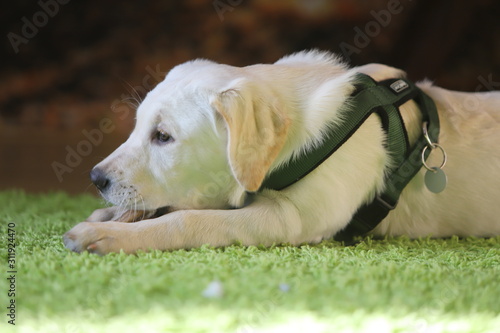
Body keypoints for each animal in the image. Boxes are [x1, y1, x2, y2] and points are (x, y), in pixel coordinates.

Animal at [64, 49, 500, 253]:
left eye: (163, 137)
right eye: (138, 127)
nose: (95, 178)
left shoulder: (292, 219)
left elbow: (193, 219)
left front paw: (109, 234)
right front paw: (111, 218)